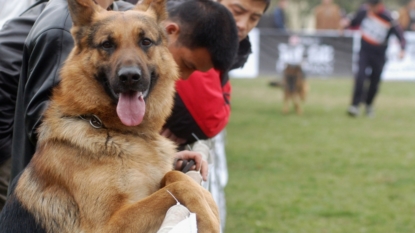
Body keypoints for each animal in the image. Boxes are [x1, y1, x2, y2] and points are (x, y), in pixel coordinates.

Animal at [0, 0, 221, 232]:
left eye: (145, 42)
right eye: (107, 44)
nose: (130, 77)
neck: (109, 128)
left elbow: (175, 176)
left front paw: (208, 202)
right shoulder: (108, 225)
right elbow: (177, 188)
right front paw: (210, 220)